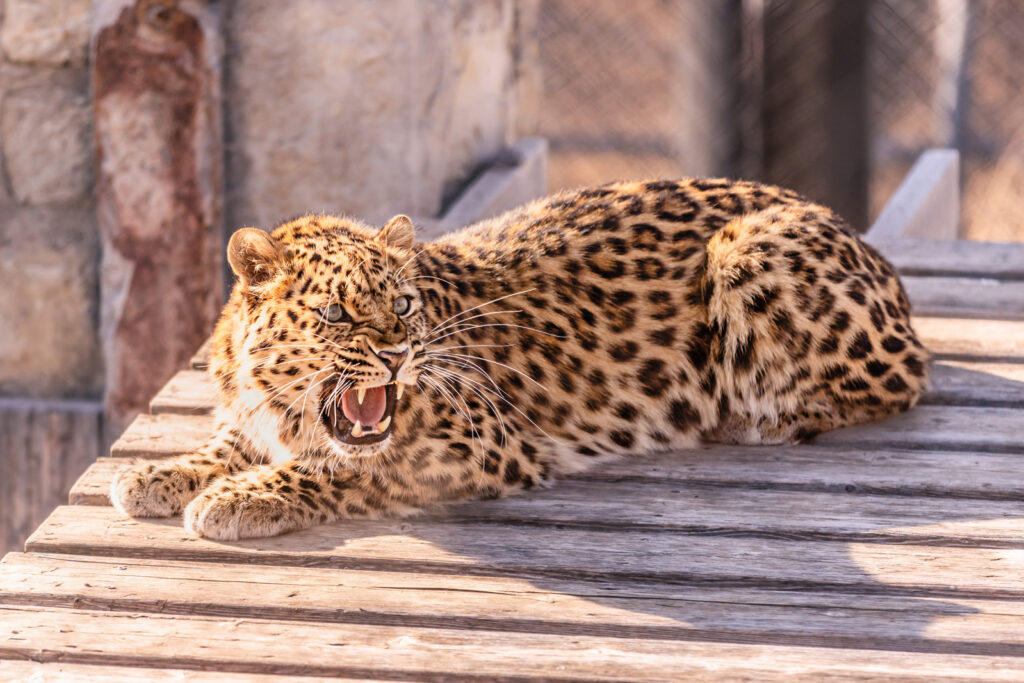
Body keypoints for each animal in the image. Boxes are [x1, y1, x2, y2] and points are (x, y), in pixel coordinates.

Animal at [111, 178, 929, 541]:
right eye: (336, 314)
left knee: (895, 386)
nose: (397, 355)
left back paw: (746, 417)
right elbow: (223, 443)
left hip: (746, 249)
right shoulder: (252, 416)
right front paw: (156, 475)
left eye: (401, 305)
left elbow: (341, 469)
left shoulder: (478, 441)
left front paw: (239, 499)